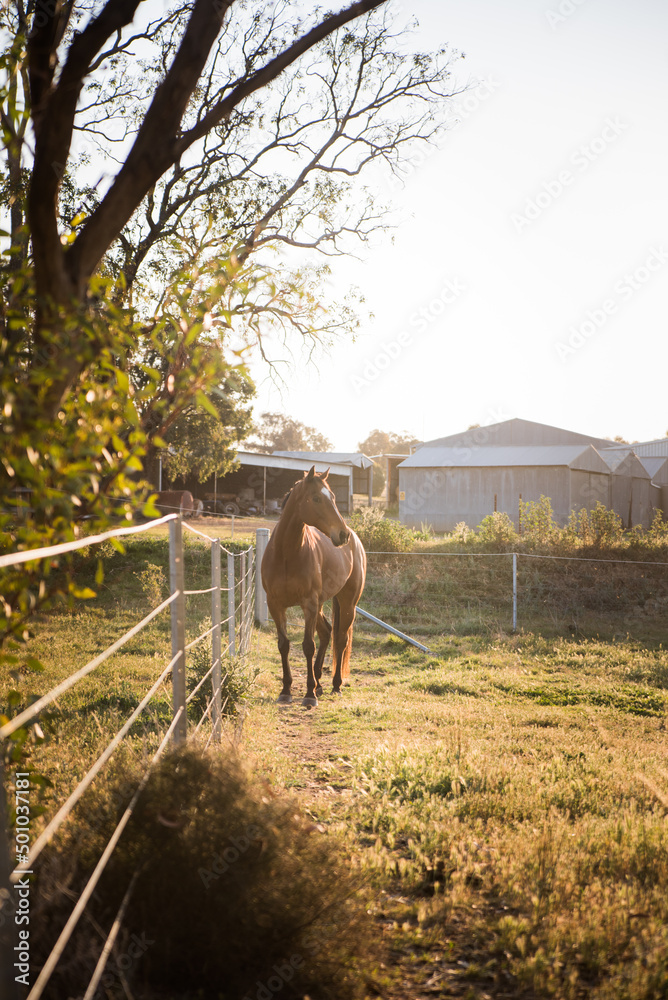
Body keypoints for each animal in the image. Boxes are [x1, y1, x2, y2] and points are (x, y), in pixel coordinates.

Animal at [260, 466, 366, 708]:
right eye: (316, 498)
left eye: (333, 497)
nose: (342, 534)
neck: (287, 554)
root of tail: (356, 542)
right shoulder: (275, 605)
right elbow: (284, 644)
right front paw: (286, 690)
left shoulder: (308, 603)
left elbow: (308, 645)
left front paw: (309, 694)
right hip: (319, 605)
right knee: (327, 632)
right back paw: (319, 682)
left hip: (346, 603)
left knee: (341, 639)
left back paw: (335, 685)